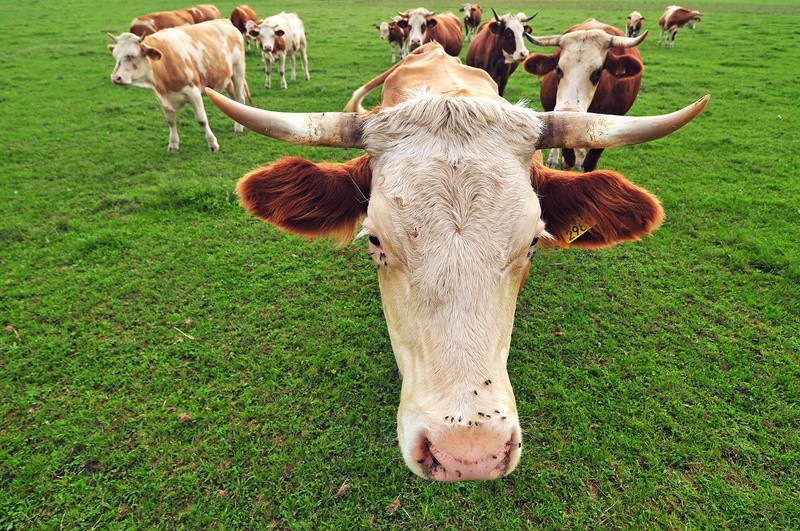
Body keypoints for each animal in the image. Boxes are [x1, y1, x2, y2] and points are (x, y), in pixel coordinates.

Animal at [108, 19, 250, 153]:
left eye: (132, 56)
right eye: (115, 56)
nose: (115, 78)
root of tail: (225, 21)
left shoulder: (194, 92)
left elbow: (202, 119)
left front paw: (212, 144)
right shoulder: (162, 98)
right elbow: (171, 121)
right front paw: (173, 145)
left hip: (238, 70)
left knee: (239, 97)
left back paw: (239, 128)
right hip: (226, 78)